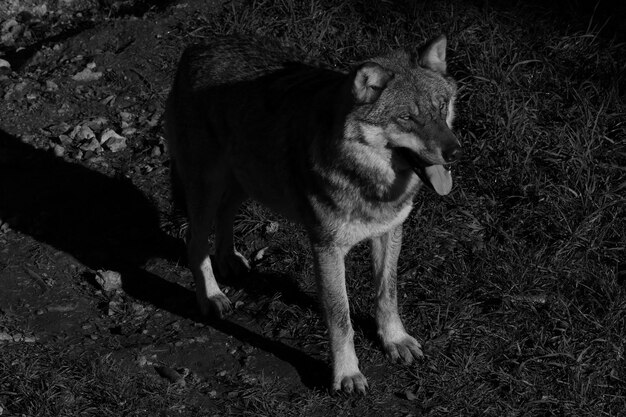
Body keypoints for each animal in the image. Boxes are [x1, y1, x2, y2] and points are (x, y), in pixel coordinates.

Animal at [165, 35, 458, 394]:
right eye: (407, 118)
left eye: (441, 107)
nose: (454, 151)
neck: (370, 185)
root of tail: (196, 47)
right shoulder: (327, 249)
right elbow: (340, 317)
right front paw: (347, 374)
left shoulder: (389, 231)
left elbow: (387, 295)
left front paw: (395, 341)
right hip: (207, 188)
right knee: (194, 241)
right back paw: (211, 296)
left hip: (246, 181)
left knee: (225, 215)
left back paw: (229, 260)